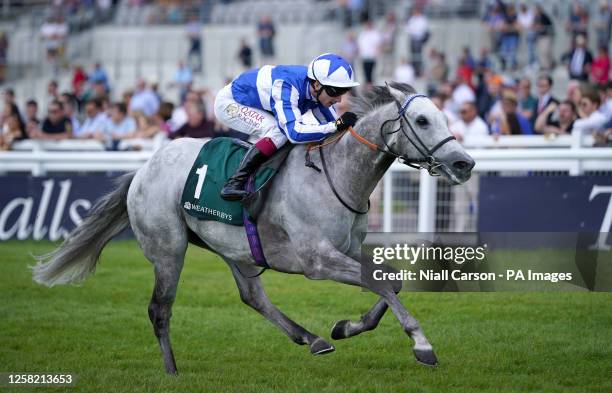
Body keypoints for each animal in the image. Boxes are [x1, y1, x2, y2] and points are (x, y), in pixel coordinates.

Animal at [31, 83, 476, 374]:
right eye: (422, 120)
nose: (464, 163)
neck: (336, 174)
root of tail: (142, 170)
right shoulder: (317, 261)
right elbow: (381, 282)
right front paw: (422, 344)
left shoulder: (346, 250)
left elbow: (390, 281)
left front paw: (346, 327)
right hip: (168, 248)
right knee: (160, 308)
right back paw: (172, 371)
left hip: (234, 248)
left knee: (253, 297)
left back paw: (312, 339)